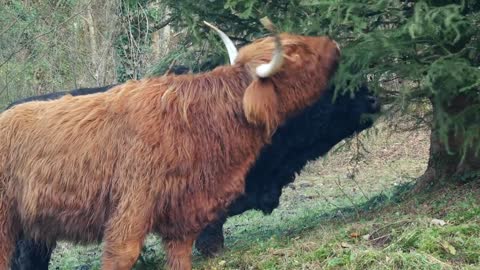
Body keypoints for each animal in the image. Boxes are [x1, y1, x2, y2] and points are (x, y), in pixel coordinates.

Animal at [0, 21, 340, 270]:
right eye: (295, 52)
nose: (335, 44)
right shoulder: (132, 206)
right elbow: (122, 255)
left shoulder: (183, 217)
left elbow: (180, 257)